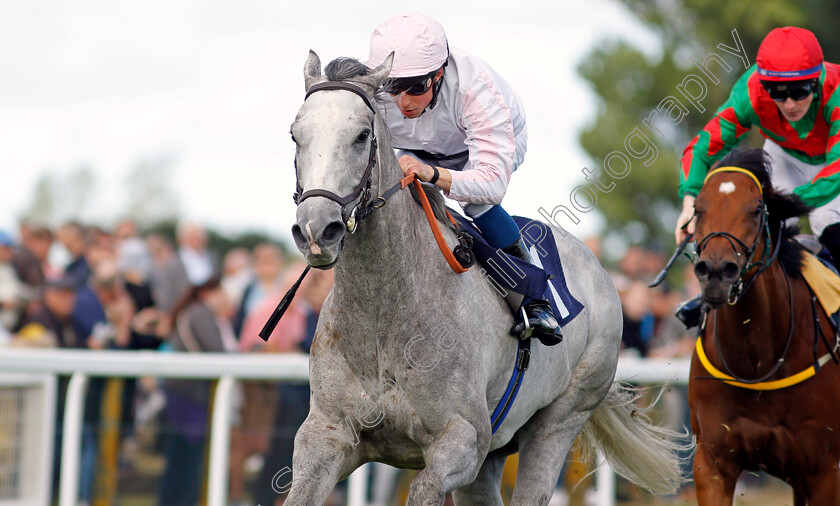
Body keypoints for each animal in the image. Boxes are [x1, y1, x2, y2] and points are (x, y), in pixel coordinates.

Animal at [286, 49, 684, 504]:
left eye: (361, 135)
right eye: (296, 135)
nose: (317, 230)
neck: (383, 318)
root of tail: (599, 270)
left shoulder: (464, 439)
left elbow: (424, 487)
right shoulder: (325, 437)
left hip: (561, 419)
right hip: (498, 447)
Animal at [688, 148, 840, 504]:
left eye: (757, 210)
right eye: (697, 208)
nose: (716, 272)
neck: (758, 363)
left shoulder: (825, 471)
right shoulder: (712, 464)